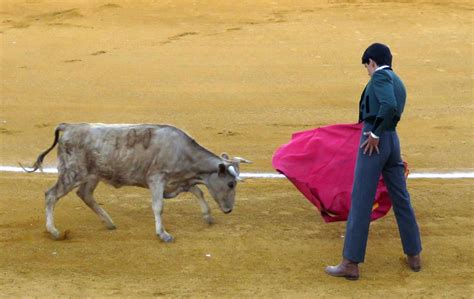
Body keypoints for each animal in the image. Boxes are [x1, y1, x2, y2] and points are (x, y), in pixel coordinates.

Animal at [22, 123, 252, 243]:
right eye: (231, 184)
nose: (229, 210)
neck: (183, 152)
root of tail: (69, 126)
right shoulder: (157, 178)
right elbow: (158, 207)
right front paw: (163, 234)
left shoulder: (179, 181)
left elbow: (199, 192)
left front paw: (208, 216)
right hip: (73, 173)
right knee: (51, 195)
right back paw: (54, 231)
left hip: (93, 175)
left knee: (85, 194)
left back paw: (109, 222)